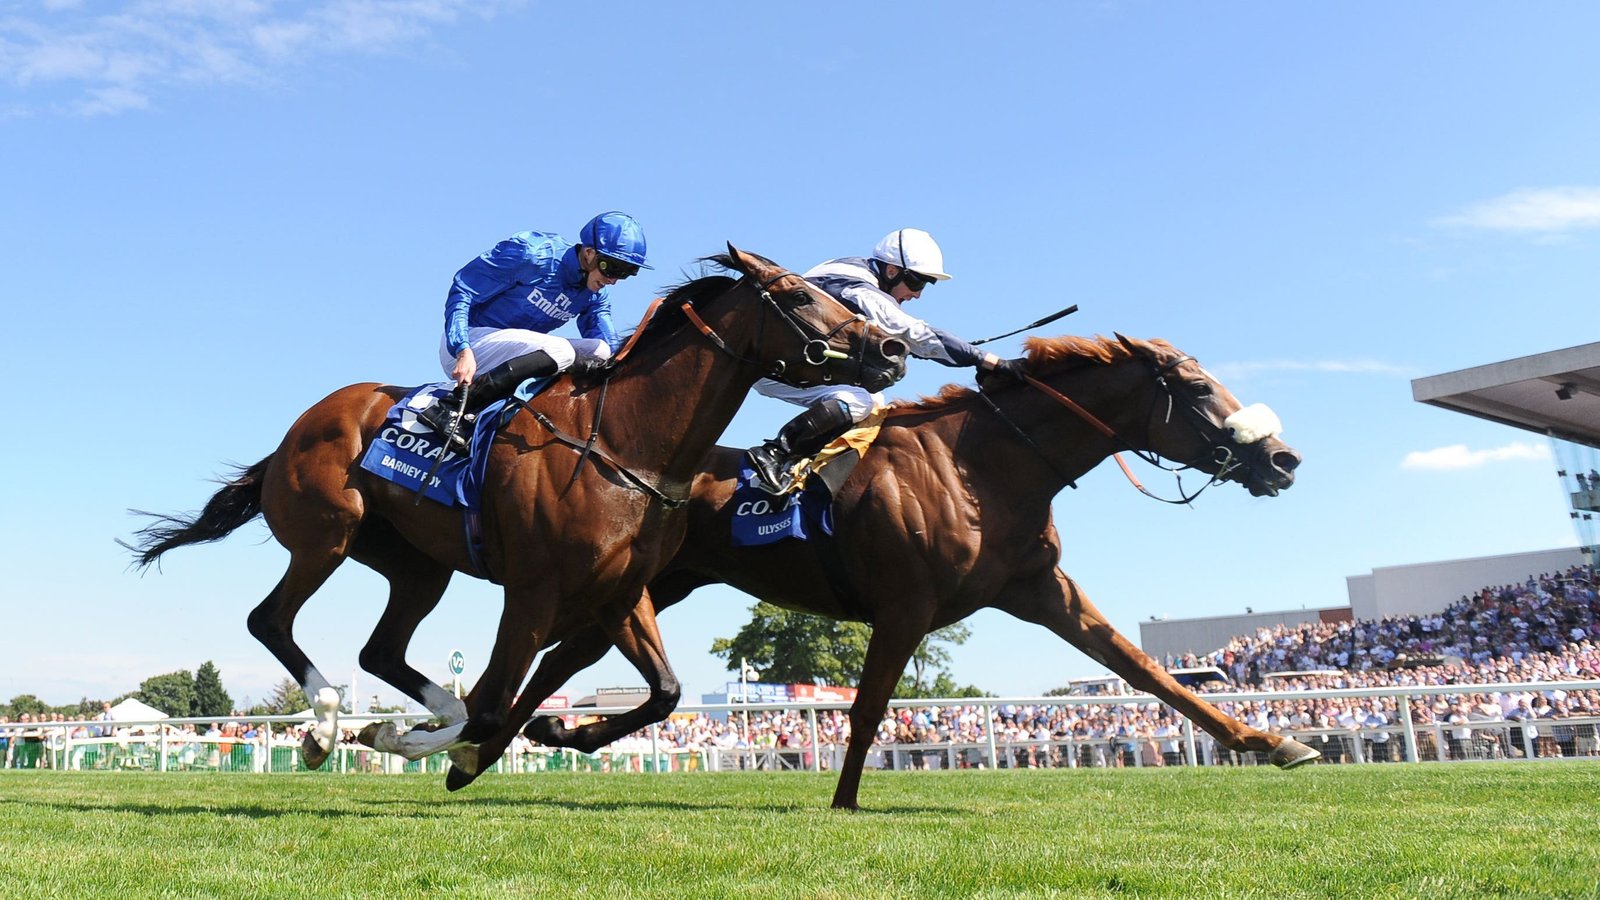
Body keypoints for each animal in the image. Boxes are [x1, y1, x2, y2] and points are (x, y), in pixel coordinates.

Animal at [128, 245, 902, 762]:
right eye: (799, 297)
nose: (891, 349)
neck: (628, 445)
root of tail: (300, 425)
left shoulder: (621, 591)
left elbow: (663, 692)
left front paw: (514, 731)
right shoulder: (533, 590)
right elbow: (492, 706)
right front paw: (427, 742)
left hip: (417, 566)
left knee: (381, 651)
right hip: (328, 534)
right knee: (270, 620)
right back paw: (323, 724)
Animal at [467, 333, 1318, 800]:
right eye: (1200, 388)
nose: (1283, 459)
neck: (985, 464)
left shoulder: (1042, 589)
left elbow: (1145, 670)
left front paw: (1273, 742)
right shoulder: (907, 602)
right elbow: (870, 708)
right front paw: (844, 803)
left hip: (649, 584)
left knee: (561, 660)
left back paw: (513, 739)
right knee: (554, 657)